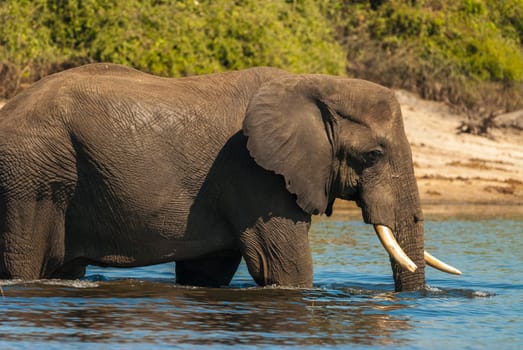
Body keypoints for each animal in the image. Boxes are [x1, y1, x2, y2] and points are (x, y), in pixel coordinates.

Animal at [0, 63, 458, 292]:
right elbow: (284, 267)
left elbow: (209, 272)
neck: (313, 84)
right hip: (30, 177)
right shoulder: (255, 175)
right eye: (374, 155)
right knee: (25, 263)